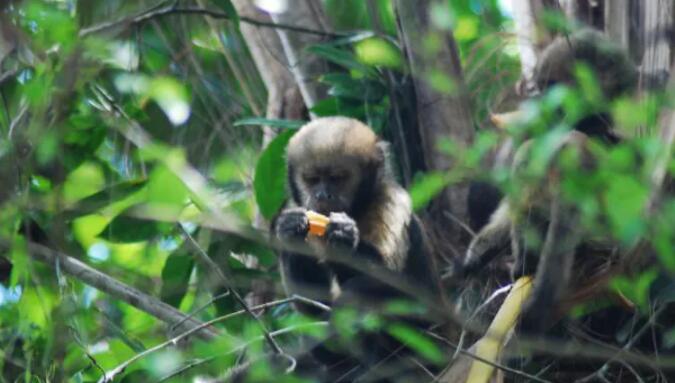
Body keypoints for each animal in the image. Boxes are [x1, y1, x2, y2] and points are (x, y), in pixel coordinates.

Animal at [272, 116, 446, 380]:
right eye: (312, 179)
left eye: (337, 178)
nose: (322, 195)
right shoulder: (296, 205)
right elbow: (307, 299)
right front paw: (292, 232)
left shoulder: (389, 200)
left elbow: (391, 280)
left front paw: (345, 238)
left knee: (362, 292)